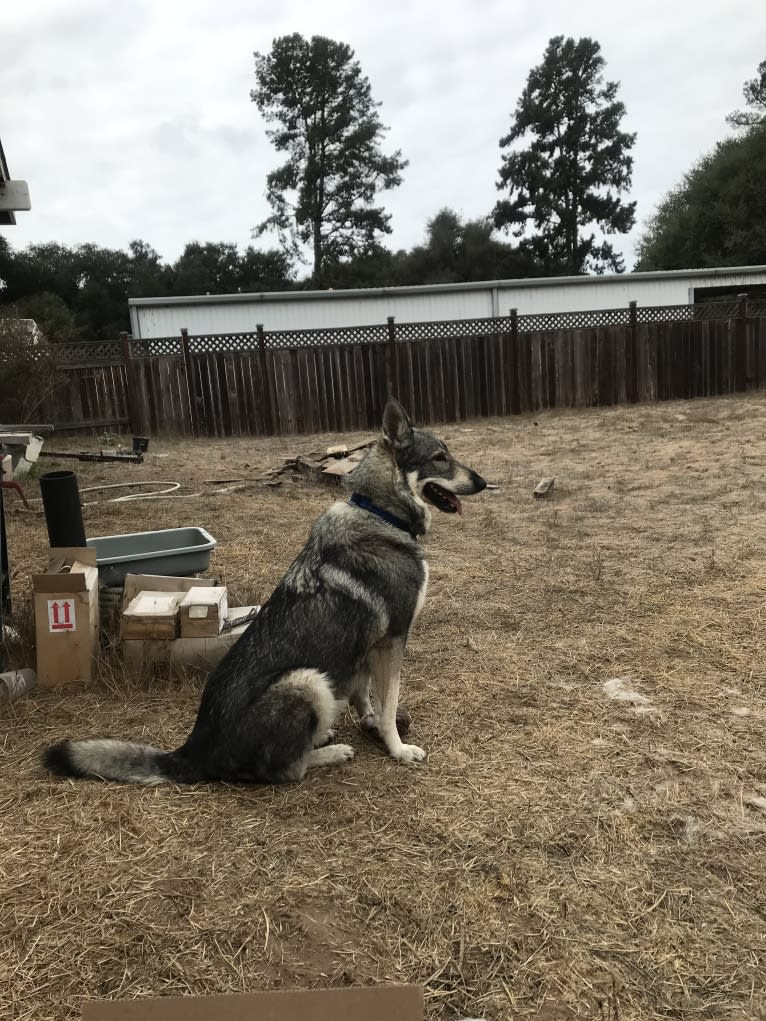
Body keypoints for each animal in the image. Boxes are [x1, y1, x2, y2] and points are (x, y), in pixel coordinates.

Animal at [43, 402, 486, 784]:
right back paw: (329, 751)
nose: (483, 483)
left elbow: (368, 698)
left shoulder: (366, 648)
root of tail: (193, 750)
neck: (380, 513)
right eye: (440, 458)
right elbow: (389, 703)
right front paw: (397, 748)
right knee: (286, 772)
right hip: (308, 681)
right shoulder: (392, 639)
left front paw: (373, 725)